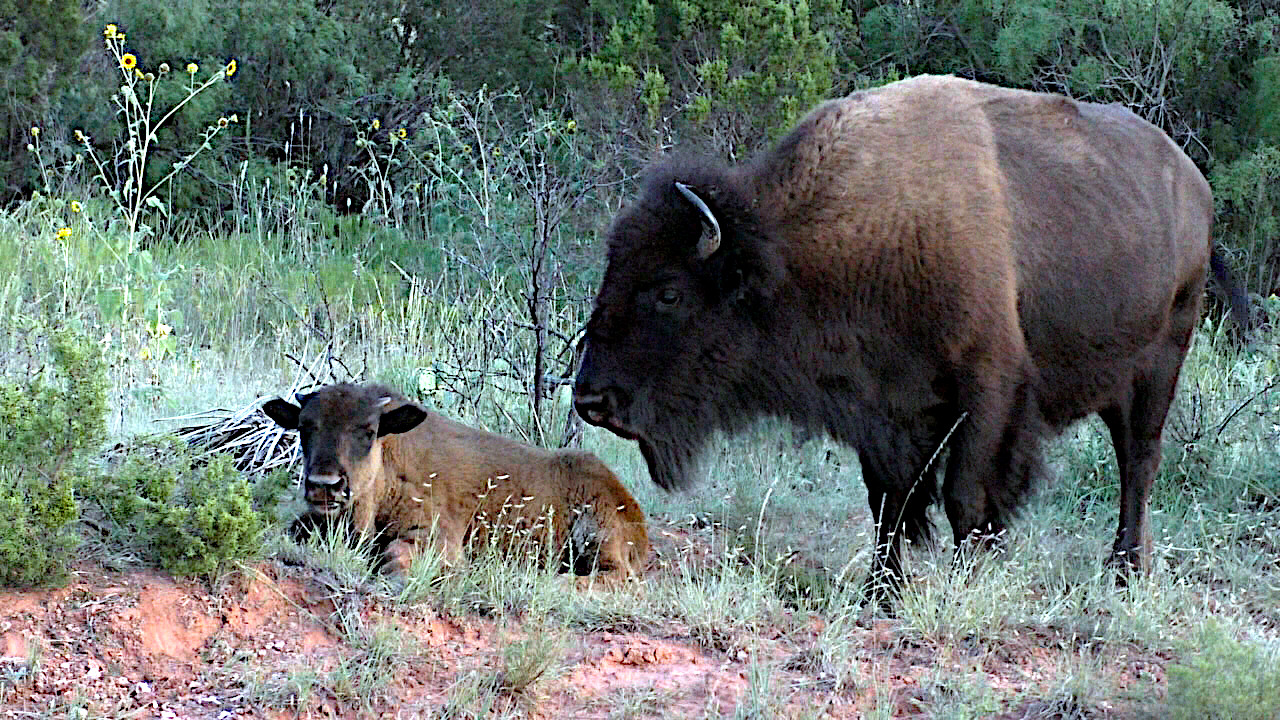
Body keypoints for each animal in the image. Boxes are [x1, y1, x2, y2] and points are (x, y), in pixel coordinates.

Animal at [267, 379, 650, 579]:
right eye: (304, 426)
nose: (324, 485)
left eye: (369, 431)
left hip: (595, 532)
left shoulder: (439, 535)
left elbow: (396, 555)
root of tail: (629, 505)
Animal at [573, 74, 1249, 599]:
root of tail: (1195, 184)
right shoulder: (881, 406)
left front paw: (966, 582)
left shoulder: (987, 392)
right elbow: (887, 501)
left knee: (1138, 462)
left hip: (1158, 368)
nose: (590, 400)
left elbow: (965, 496)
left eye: (668, 292)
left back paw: (1124, 572)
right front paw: (882, 590)